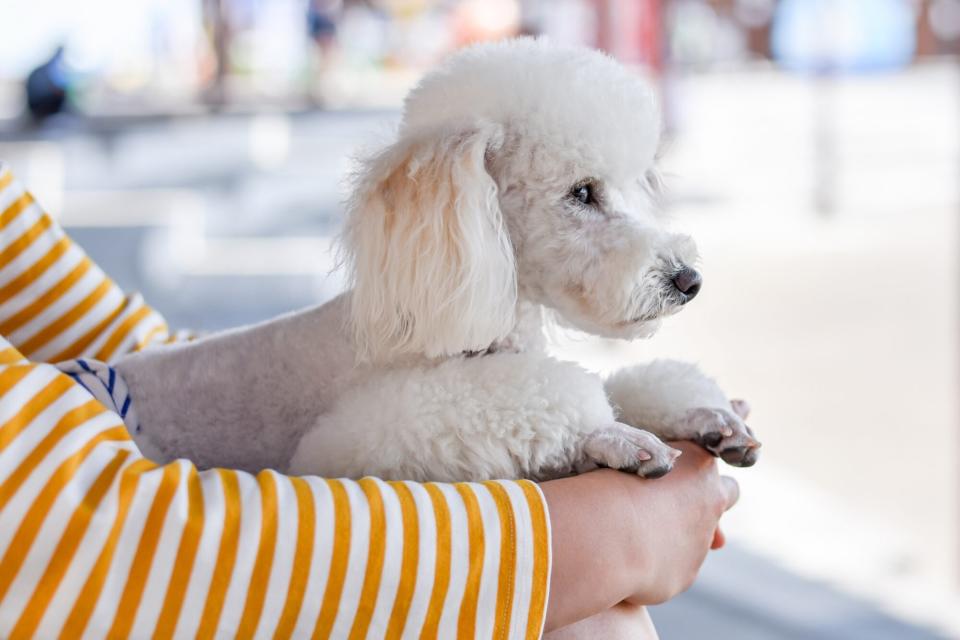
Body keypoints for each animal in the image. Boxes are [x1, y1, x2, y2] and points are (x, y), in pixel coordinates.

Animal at [114, 38, 756, 480]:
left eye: (630, 185)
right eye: (581, 192)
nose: (689, 280)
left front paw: (702, 412)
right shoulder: (353, 442)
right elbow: (556, 399)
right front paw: (615, 436)